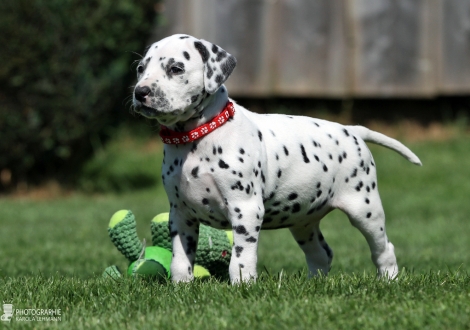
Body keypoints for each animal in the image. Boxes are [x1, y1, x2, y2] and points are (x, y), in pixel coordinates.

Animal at [132, 34, 422, 284]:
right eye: (140, 68)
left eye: (176, 68)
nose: (140, 92)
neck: (197, 137)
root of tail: (352, 130)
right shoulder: (180, 214)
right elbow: (181, 259)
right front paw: (181, 286)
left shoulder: (246, 209)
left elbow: (240, 259)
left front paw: (243, 286)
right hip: (304, 222)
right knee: (322, 253)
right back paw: (313, 284)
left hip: (365, 209)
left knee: (383, 248)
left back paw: (388, 279)